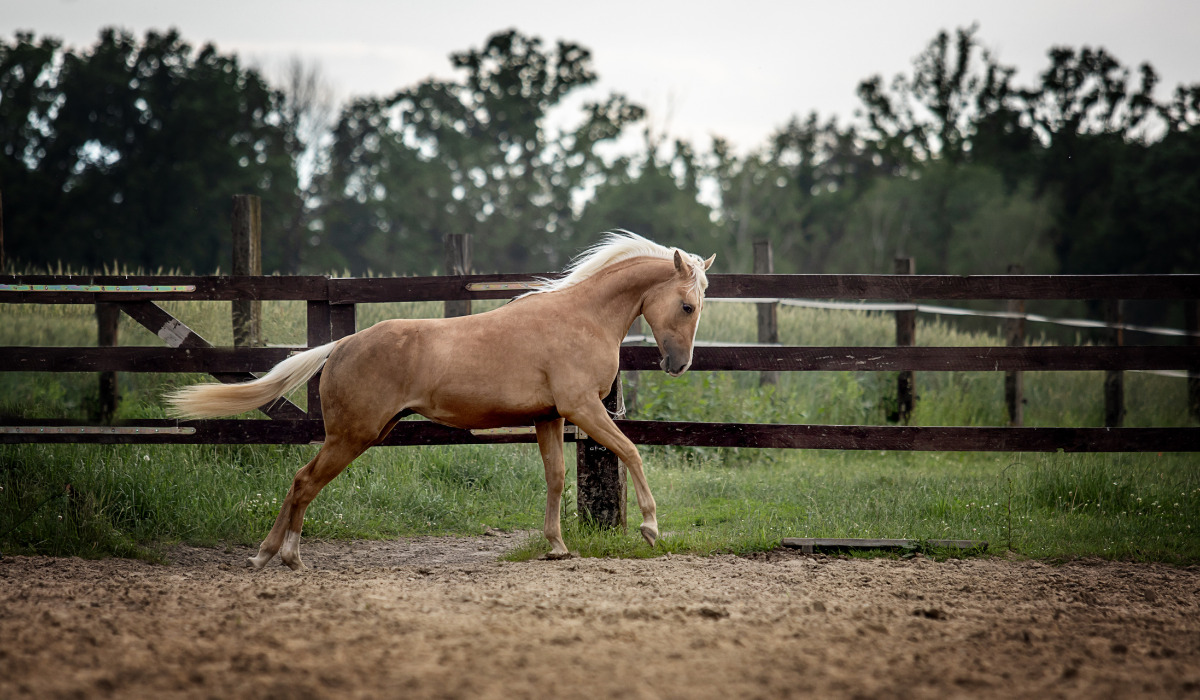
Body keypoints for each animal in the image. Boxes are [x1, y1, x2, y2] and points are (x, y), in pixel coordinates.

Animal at [165, 231, 715, 570]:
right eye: (688, 306)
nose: (678, 364)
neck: (581, 317)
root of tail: (341, 345)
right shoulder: (584, 409)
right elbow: (631, 452)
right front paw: (650, 528)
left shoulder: (549, 417)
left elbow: (556, 477)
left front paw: (556, 547)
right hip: (352, 436)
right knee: (304, 482)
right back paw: (284, 556)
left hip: (359, 435)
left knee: (301, 482)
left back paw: (269, 555)